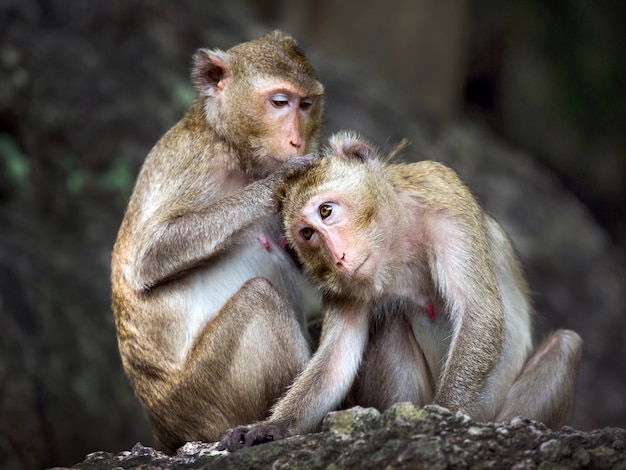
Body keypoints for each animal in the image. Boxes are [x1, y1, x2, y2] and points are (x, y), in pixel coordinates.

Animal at [111, 30, 324, 452]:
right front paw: (279, 181)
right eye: (280, 102)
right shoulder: (192, 161)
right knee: (259, 298)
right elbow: (149, 256)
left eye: (306, 104)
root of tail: (167, 433)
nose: (296, 141)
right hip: (205, 396)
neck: (232, 147)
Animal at [222, 130, 584, 450]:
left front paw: (444, 416)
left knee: (566, 345)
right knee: (390, 322)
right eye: (307, 234)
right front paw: (273, 426)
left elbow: (479, 313)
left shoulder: (443, 194)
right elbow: (337, 358)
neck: (397, 237)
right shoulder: (340, 283)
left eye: (326, 211)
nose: (338, 257)